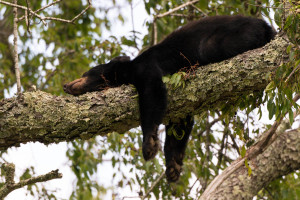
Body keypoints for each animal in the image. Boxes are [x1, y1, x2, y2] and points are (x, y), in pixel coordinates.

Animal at [64, 14, 276, 182]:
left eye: (85, 73)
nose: (66, 85)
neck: (127, 70)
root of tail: (265, 24)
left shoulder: (147, 67)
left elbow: (152, 92)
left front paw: (149, 144)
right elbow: (180, 123)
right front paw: (173, 165)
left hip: (227, 37)